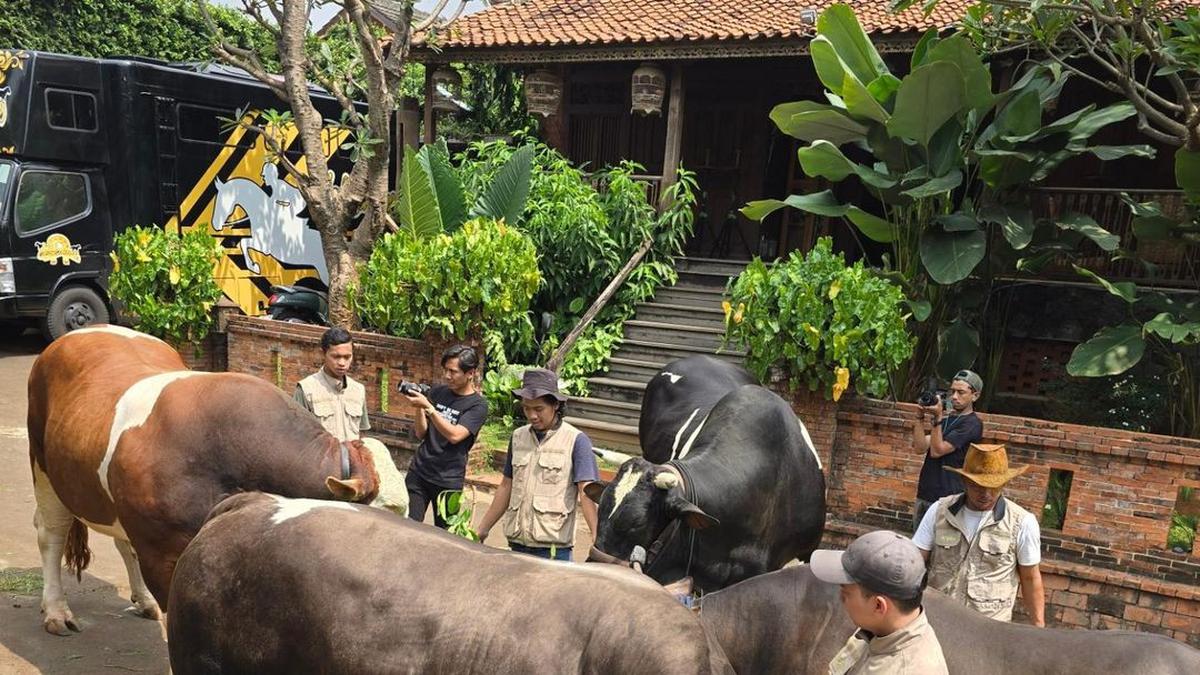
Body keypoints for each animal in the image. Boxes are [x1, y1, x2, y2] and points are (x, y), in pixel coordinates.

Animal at [23, 324, 405, 634]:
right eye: (385, 513)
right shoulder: (161, 552)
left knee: (122, 542)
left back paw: (142, 601)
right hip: (43, 466)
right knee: (50, 533)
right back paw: (56, 611)